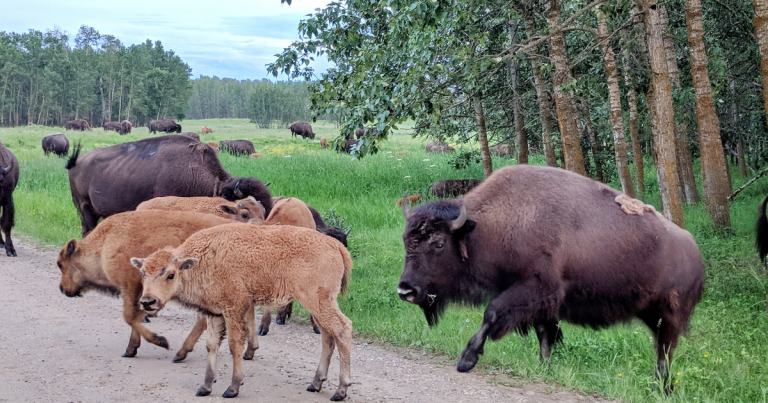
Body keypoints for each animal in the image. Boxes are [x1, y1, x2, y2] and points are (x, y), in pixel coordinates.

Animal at [397, 165, 704, 392]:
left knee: (665, 350)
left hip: (669, 315)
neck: (486, 228)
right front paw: (545, 368)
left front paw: (466, 360)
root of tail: (694, 250)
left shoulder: (534, 287)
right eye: (405, 242)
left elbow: (492, 313)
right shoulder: (540, 303)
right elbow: (544, 333)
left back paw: (659, 388)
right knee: (663, 348)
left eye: (438, 244)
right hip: (652, 314)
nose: (405, 290)